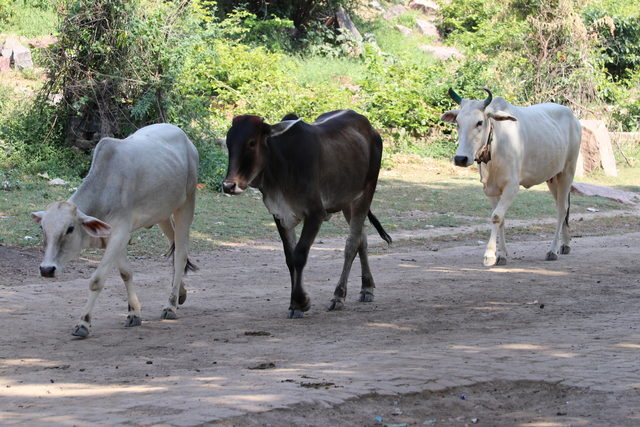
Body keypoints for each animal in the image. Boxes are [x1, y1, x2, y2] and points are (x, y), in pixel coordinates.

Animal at [31, 123, 199, 337]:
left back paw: (170, 305)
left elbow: (97, 280)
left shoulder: (120, 233)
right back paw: (180, 294)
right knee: (175, 247)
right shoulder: (113, 237)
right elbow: (126, 273)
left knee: (181, 255)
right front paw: (134, 313)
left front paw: (83, 323)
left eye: (70, 229)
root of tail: (184, 137)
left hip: (186, 203)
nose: (46, 269)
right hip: (163, 214)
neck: (104, 190)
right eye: (42, 228)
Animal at [222, 110, 392, 318]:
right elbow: (289, 257)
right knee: (362, 239)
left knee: (352, 243)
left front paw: (300, 302)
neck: (281, 165)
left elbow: (299, 255)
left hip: (365, 193)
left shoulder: (315, 214)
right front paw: (294, 304)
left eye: (252, 142)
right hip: (347, 202)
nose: (229, 185)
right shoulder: (280, 215)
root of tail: (370, 128)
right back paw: (367, 287)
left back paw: (339, 296)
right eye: (228, 142)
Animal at [441, 88, 581, 266]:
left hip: (567, 172)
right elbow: (501, 219)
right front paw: (502, 255)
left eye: (479, 122)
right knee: (563, 208)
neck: (494, 146)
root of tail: (573, 117)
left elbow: (496, 216)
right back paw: (566, 244)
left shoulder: (512, 187)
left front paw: (489, 255)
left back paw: (553, 250)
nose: (460, 159)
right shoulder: (491, 190)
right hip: (552, 178)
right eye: (458, 123)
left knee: (562, 210)